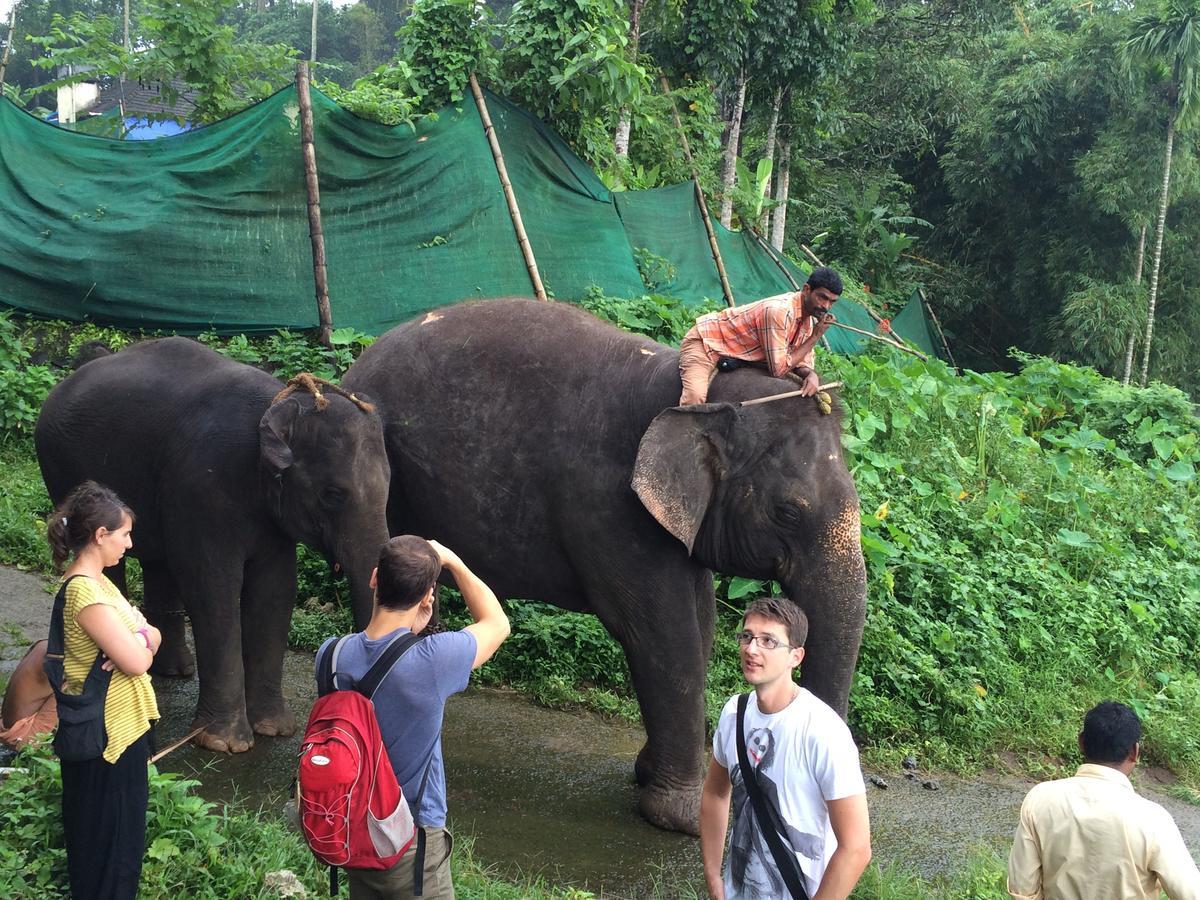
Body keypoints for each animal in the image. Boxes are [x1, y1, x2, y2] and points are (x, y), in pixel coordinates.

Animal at [35, 338, 391, 753]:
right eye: (333, 494)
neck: (279, 402)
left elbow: (275, 590)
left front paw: (274, 730)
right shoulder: (202, 487)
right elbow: (211, 587)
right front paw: (224, 744)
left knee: (159, 562)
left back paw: (174, 669)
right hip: (61, 465)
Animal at [343, 300, 868, 835]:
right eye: (788, 513)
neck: (692, 397)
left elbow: (699, 625)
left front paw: (646, 775)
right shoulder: (612, 508)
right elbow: (665, 636)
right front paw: (686, 820)